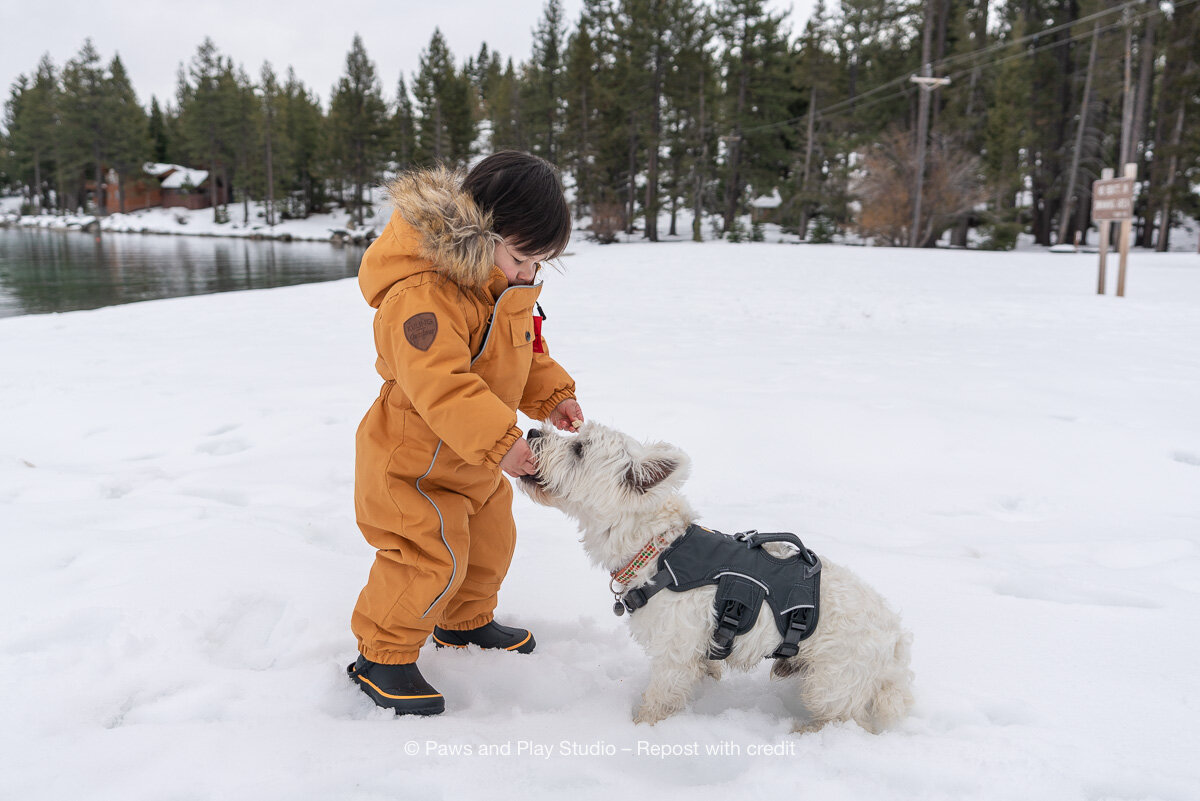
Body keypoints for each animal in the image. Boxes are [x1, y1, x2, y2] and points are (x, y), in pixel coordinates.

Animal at [520, 422, 912, 733]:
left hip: (831, 682)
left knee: (846, 720)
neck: (658, 548)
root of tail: (895, 642)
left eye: (579, 449)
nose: (532, 431)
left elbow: (660, 697)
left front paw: (642, 728)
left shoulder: (674, 652)